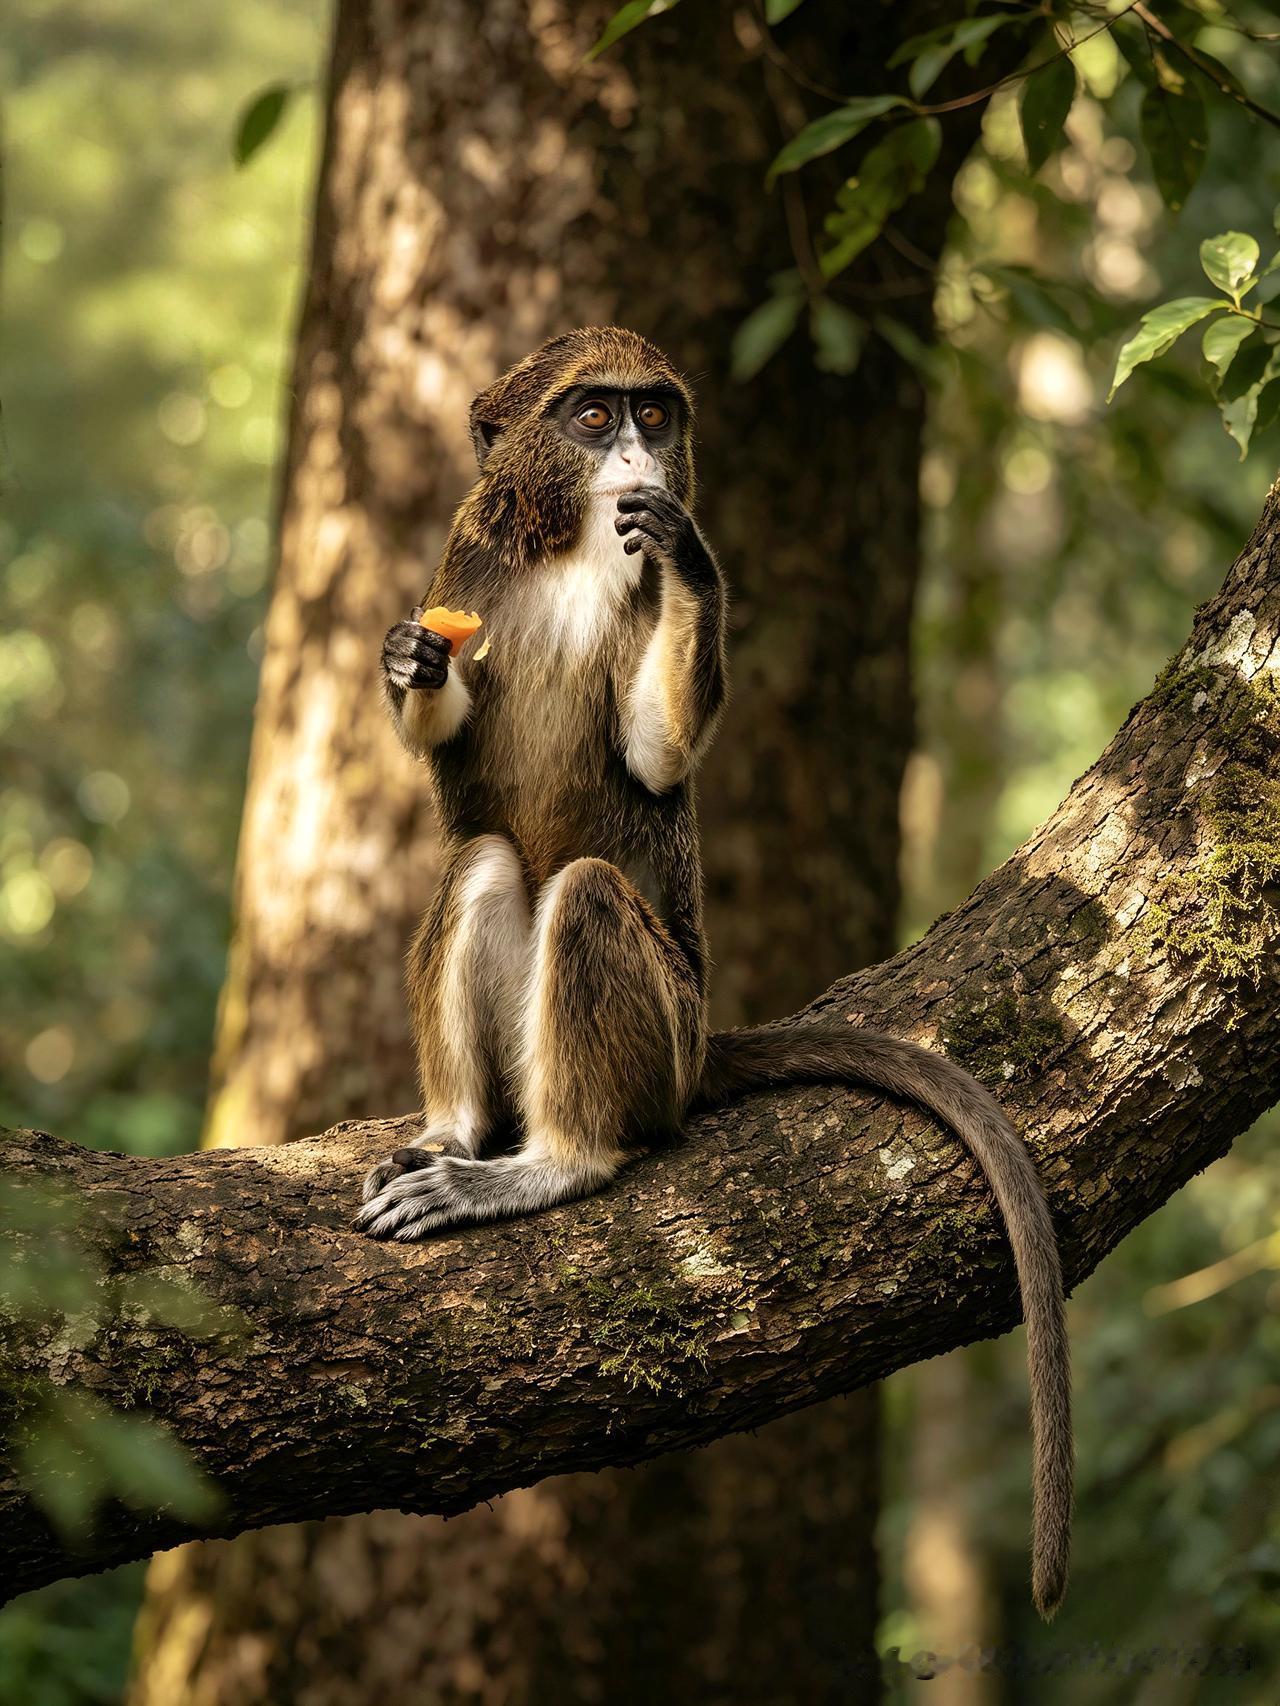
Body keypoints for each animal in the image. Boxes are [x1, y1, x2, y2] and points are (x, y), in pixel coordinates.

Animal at [354, 326, 1072, 1618]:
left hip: (662, 1025)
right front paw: (411, 662)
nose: (638, 456)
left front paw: (690, 552)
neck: (570, 544)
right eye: (593, 416)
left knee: (587, 893)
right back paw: (456, 1131)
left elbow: (654, 751)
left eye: (652, 413)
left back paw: (552, 1162)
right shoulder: (468, 553)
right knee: (483, 857)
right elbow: (455, 751)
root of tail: (700, 1047)